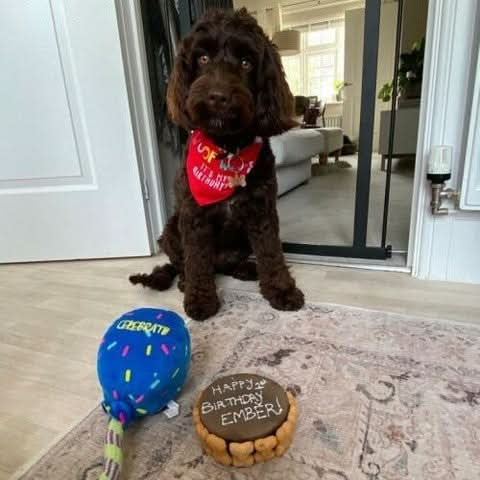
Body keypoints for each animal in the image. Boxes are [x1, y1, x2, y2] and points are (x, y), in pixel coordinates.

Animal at [130, 7, 304, 320]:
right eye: (202, 58)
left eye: (247, 62)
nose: (218, 97)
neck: (226, 149)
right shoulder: (194, 217)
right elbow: (197, 260)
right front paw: (200, 298)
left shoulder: (262, 212)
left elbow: (272, 253)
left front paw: (281, 290)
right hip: (171, 230)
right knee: (184, 263)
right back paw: (185, 281)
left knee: (234, 263)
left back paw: (247, 268)